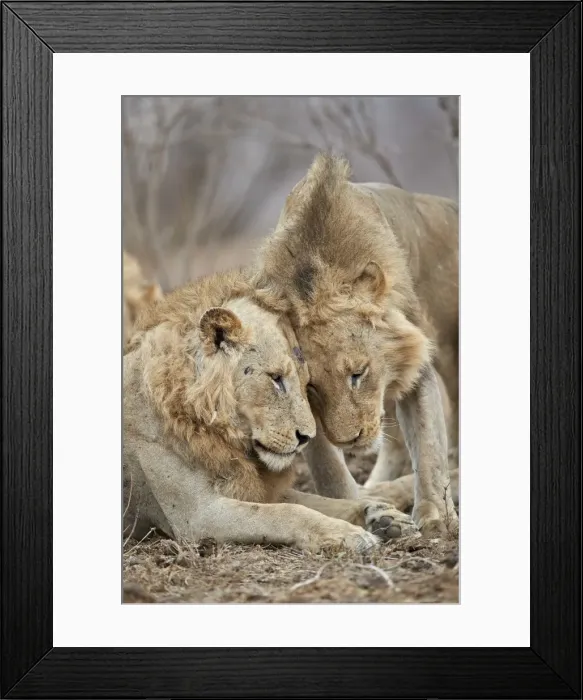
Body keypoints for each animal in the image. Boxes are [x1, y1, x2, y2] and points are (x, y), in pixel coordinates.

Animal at [123, 269, 416, 552]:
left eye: (306, 383)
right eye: (276, 378)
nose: (306, 438)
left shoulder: (261, 490)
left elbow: (321, 502)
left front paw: (383, 517)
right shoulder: (196, 515)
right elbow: (289, 512)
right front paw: (347, 534)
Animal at [254, 153, 459, 537]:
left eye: (358, 374)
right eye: (312, 388)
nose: (350, 440)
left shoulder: (414, 361)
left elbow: (428, 444)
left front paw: (434, 516)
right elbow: (328, 469)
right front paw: (365, 510)